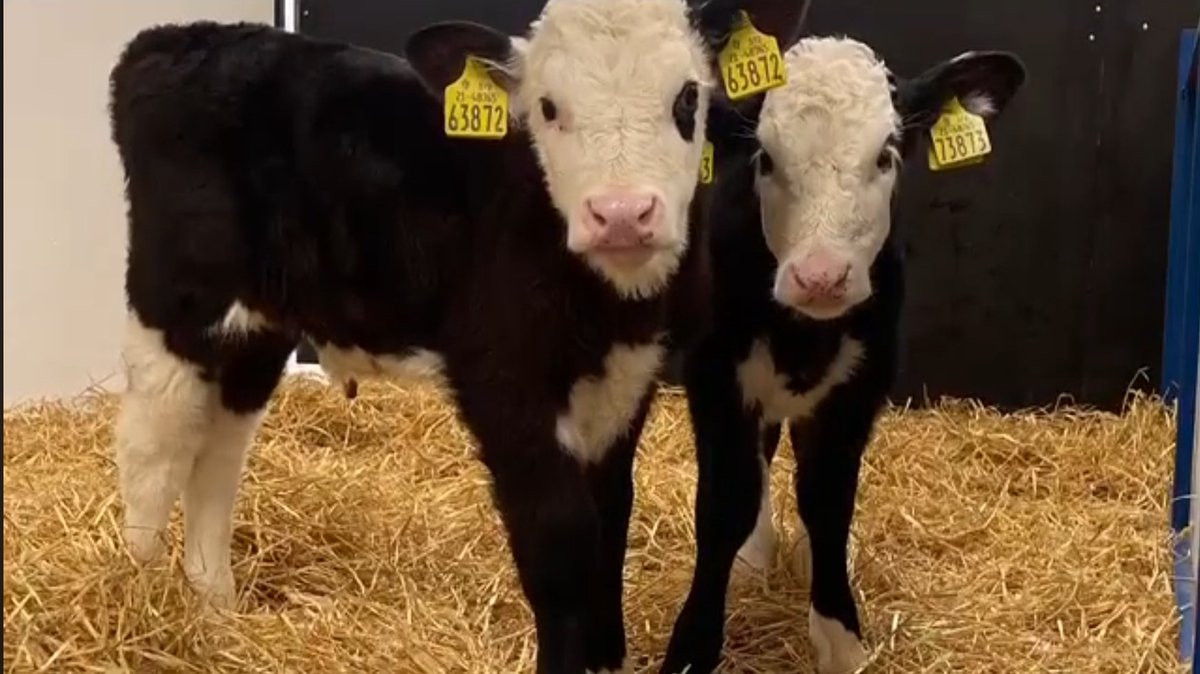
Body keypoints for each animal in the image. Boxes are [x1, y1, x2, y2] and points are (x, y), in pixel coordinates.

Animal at [105, 1, 808, 672]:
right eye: (547, 107)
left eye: (687, 97)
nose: (621, 215)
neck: (613, 303)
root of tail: (176, 38)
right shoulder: (501, 380)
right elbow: (560, 543)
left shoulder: (631, 376)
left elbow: (612, 515)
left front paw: (608, 656)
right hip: (175, 300)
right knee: (152, 450)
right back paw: (140, 607)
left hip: (259, 323)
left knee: (219, 448)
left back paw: (214, 608)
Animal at [656, 36, 1027, 674]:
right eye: (765, 160)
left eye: (886, 155)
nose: (821, 277)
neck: (804, 334)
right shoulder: (715, 377)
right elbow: (725, 503)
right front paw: (693, 644)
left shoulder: (861, 384)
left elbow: (828, 499)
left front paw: (838, 634)